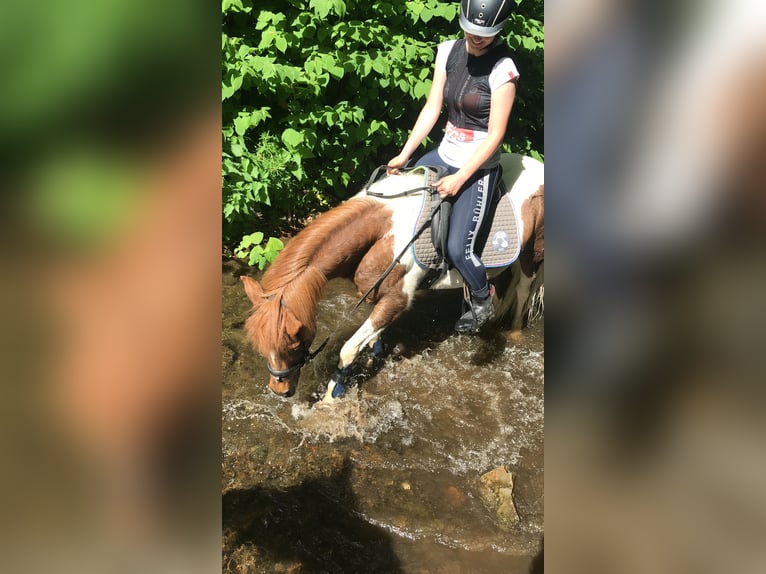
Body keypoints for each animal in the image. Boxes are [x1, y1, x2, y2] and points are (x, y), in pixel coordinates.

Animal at [243, 155, 544, 402]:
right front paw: (373, 356)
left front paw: (331, 396)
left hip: (531, 257)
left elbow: (348, 349)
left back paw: (515, 331)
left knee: (523, 290)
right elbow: (372, 338)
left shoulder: (398, 299)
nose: (279, 390)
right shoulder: (380, 295)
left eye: (293, 343)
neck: (385, 232)